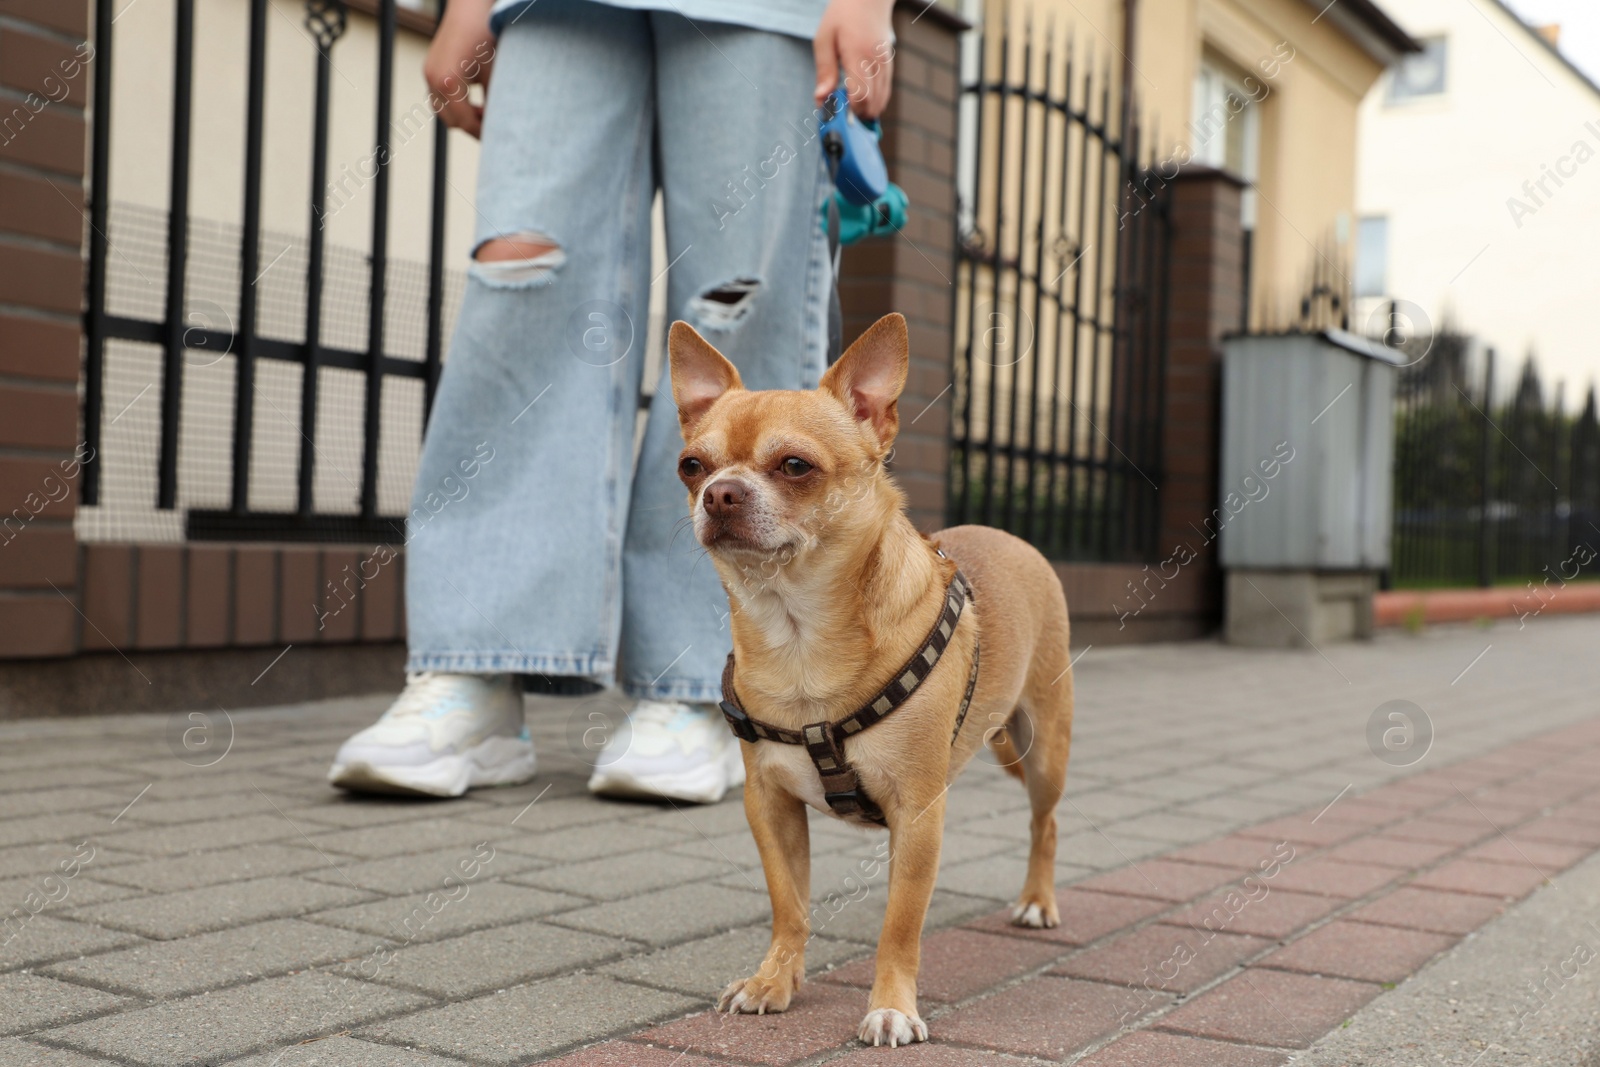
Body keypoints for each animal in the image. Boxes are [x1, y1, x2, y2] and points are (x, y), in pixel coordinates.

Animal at [665, 313, 1075, 1049]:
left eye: (794, 466)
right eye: (691, 466)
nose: (719, 493)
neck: (799, 635)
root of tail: (1009, 534)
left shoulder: (917, 814)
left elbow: (900, 924)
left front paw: (891, 1006)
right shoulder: (770, 805)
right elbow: (789, 903)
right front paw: (776, 979)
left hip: (1044, 748)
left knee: (1046, 821)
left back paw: (1037, 900)